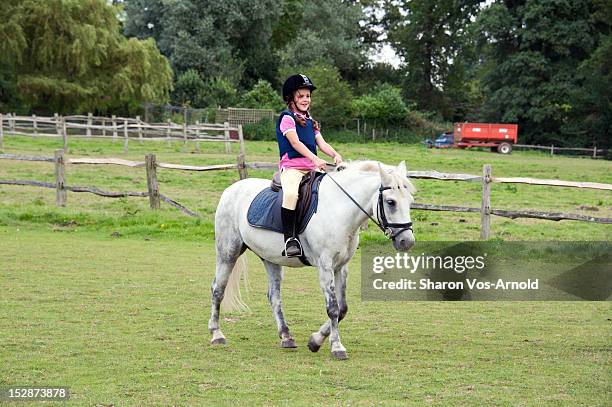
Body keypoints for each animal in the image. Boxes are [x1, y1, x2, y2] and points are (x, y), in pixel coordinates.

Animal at [210, 161, 416, 358]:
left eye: (410, 201)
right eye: (391, 202)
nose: (407, 242)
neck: (339, 209)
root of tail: (232, 189)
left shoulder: (341, 267)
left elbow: (342, 308)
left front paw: (315, 341)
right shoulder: (325, 266)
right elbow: (333, 308)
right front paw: (337, 347)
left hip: (271, 259)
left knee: (274, 296)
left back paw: (286, 337)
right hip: (228, 252)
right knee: (218, 289)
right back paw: (216, 334)